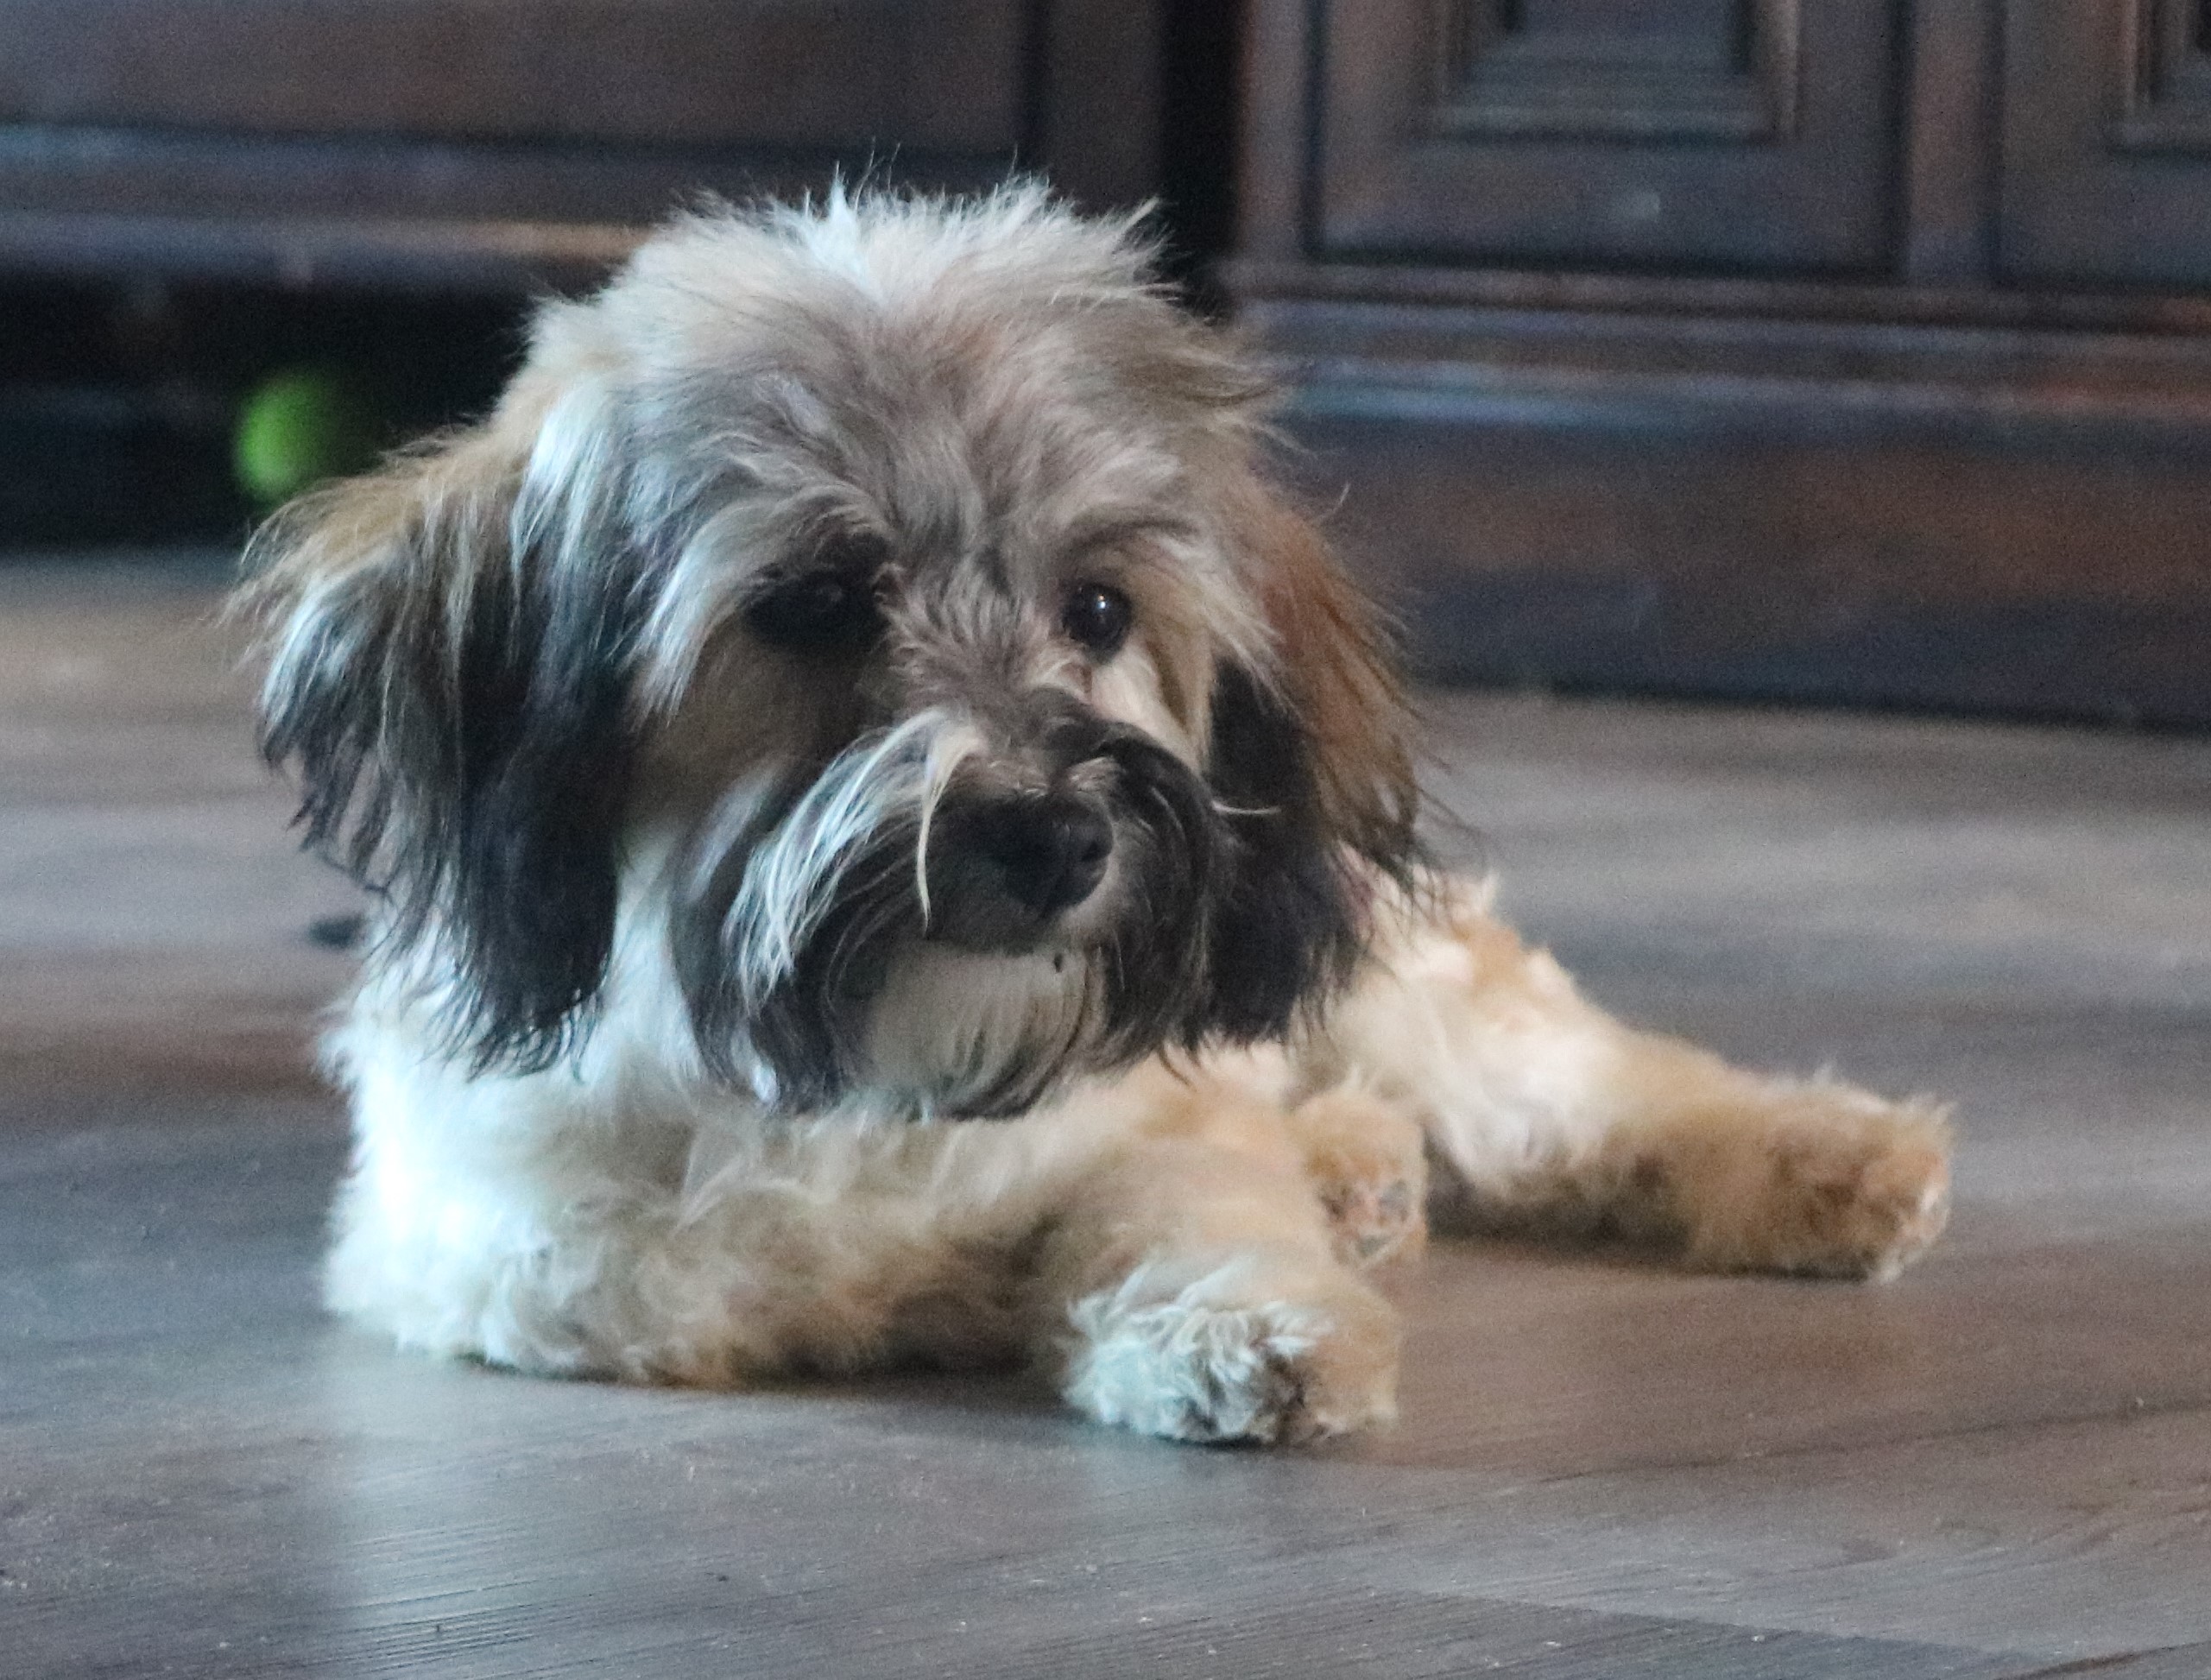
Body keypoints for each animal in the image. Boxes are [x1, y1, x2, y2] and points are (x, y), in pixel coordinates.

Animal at [233, 183, 1945, 1441]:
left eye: (1100, 607)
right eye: (812, 605)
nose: (1056, 836)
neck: (879, 1047)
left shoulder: (1163, 1115)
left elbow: (1187, 1201)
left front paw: (1233, 1323)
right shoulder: (505, 1239)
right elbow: (682, 1277)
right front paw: (937, 1289)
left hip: (1375, 970)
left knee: (1572, 1087)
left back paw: (1825, 1158)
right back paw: (1358, 1168)